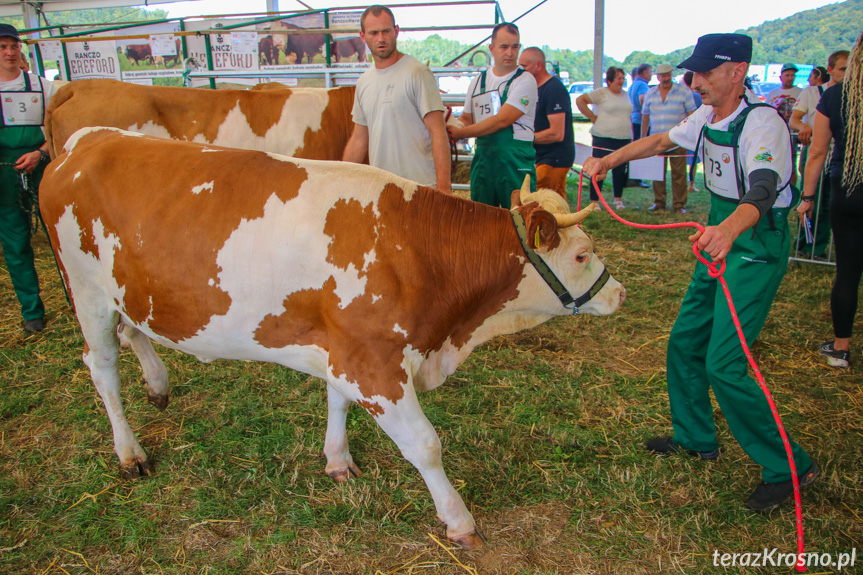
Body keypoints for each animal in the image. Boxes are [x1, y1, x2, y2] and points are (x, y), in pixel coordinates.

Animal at [40, 128, 624, 552]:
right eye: (581, 254)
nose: (619, 294)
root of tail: (89, 139)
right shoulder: (374, 362)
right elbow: (425, 445)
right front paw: (459, 521)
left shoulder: (344, 350)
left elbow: (337, 402)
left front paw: (337, 460)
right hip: (87, 293)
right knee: (103, 366)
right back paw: (129, 453)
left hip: (130, 291)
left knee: (132, 332)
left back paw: (158, 385)